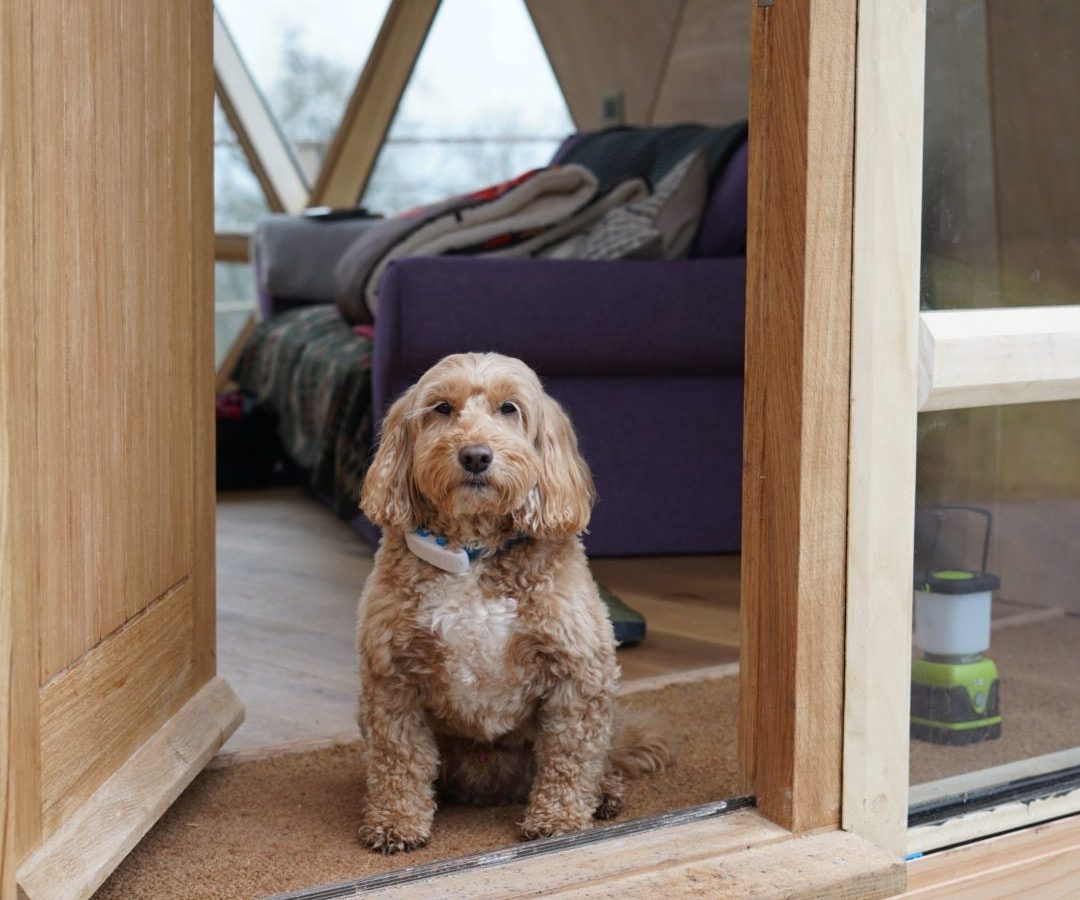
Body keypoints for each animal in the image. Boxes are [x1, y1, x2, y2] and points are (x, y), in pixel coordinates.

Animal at [358, 350, 669, 851]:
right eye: (442, 408)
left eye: (509, 408)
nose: (475, 455)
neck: (474, 550)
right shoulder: (393, 674)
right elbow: (397, 757)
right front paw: (395, 822)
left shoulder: (578, 671)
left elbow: (569, 755)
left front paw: (558, 821)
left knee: (595, 758)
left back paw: (603, 793)